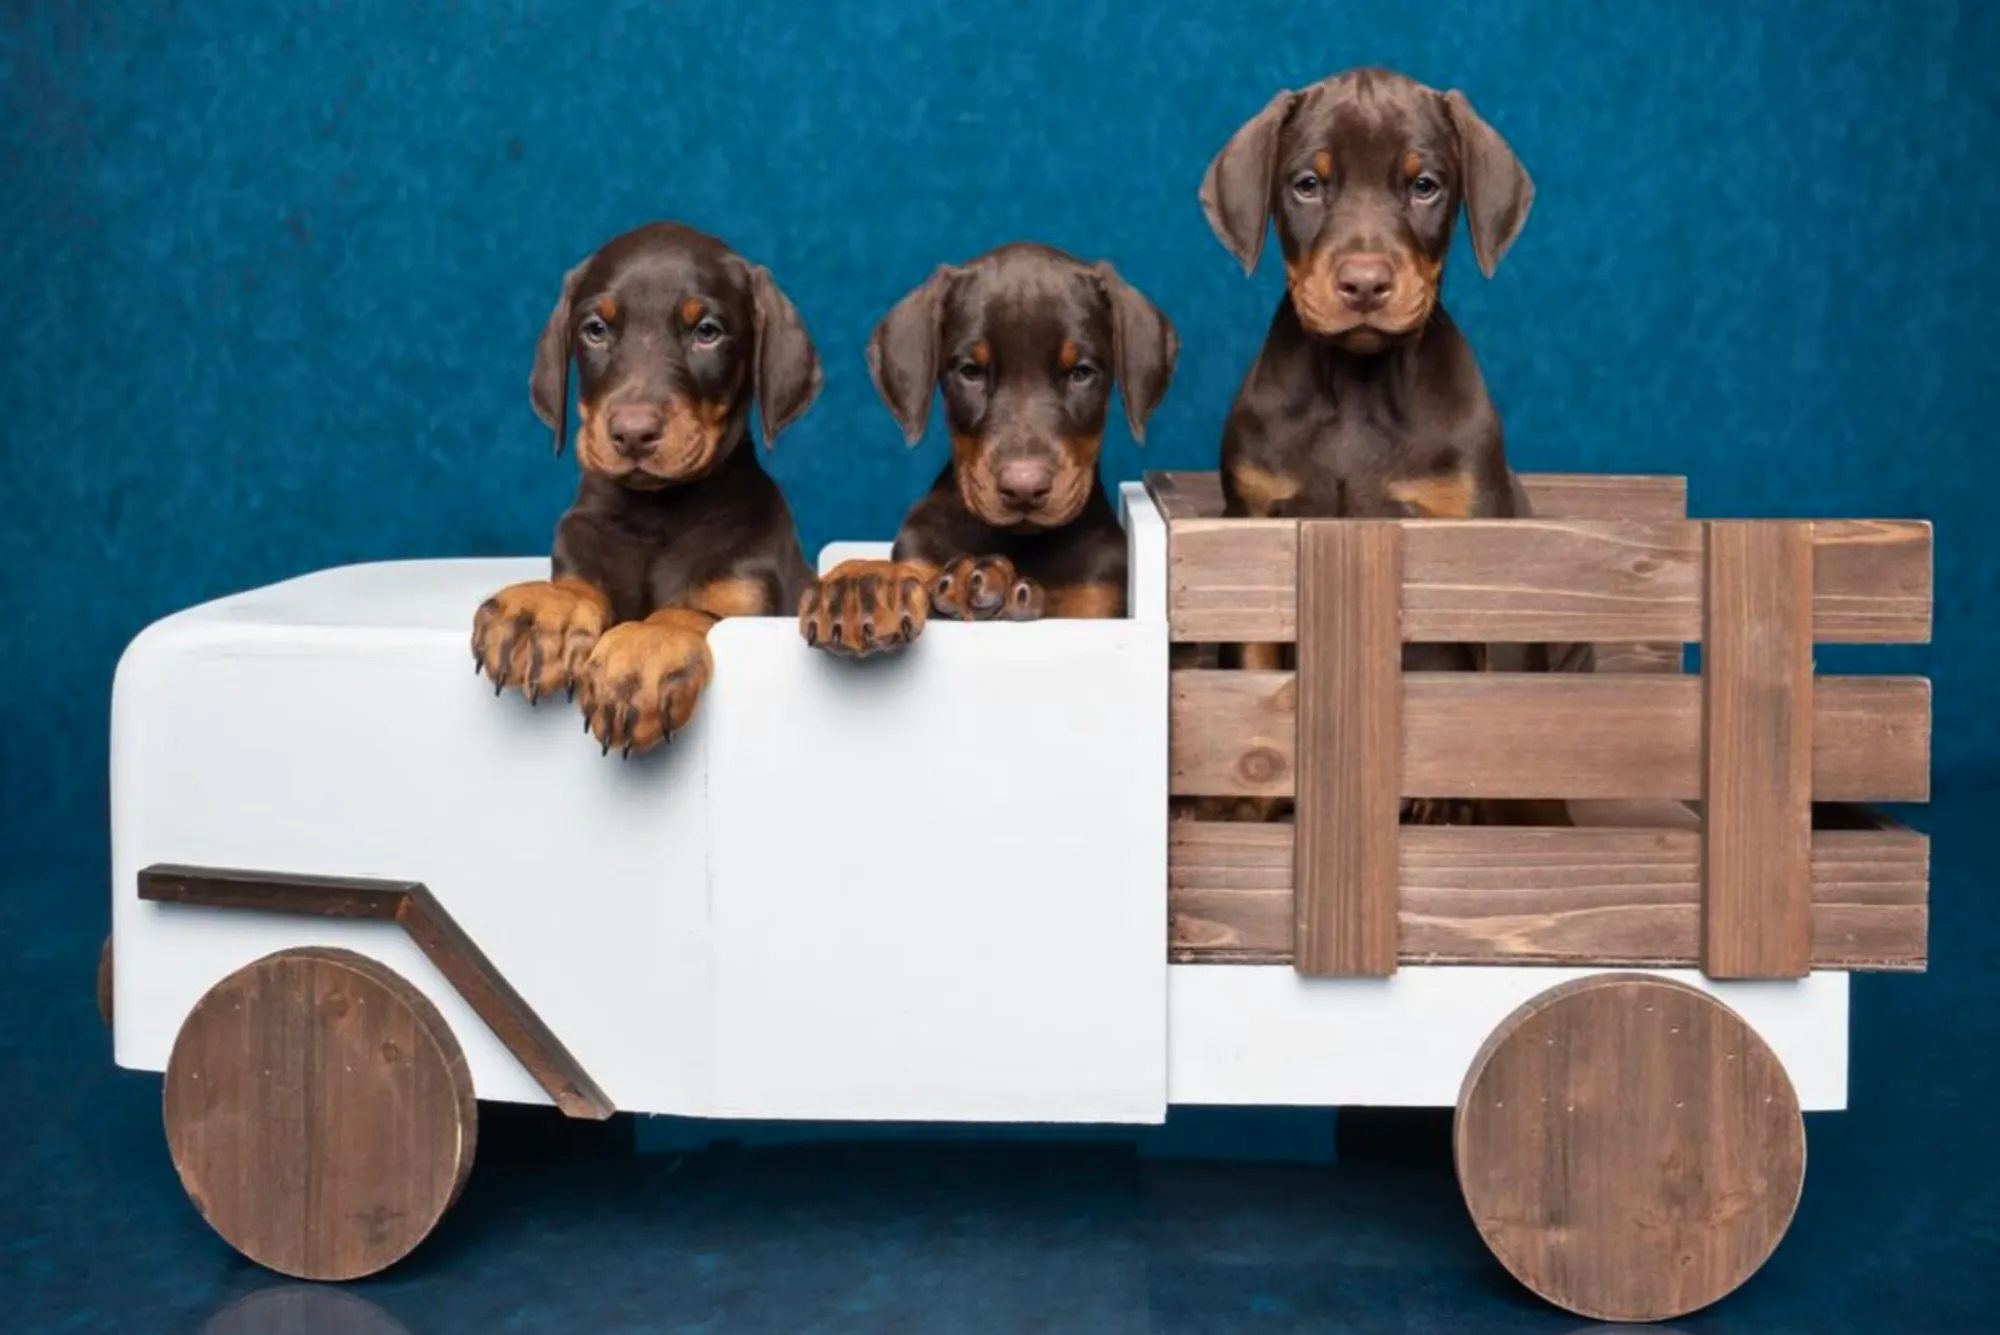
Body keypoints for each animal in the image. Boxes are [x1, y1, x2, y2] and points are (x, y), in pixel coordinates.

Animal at [476, 223, 820, 755]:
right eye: (596, 329)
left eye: (707, 332)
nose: (633, 432)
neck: (655, 514)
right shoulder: (580, 558)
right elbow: (575, 587)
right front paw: (542, 610)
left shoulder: (753, 606)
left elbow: (687, 614)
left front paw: (641, 655)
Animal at [796, 243, 1168, 655]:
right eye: (970, 371)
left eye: (1081, 372)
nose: (1024, 488)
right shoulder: (922, 555)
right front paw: (859, 585)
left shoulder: (1093, 600)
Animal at [1192, 67, 1584, 823]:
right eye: (1306, 185)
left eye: (1424, 185)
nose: (1366, 284)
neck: (1360, 386)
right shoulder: (1254, 525)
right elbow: (1251, 672)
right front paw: (1245, 812)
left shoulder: (1483, 549)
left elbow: (1507, 702)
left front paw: (1523, 823)